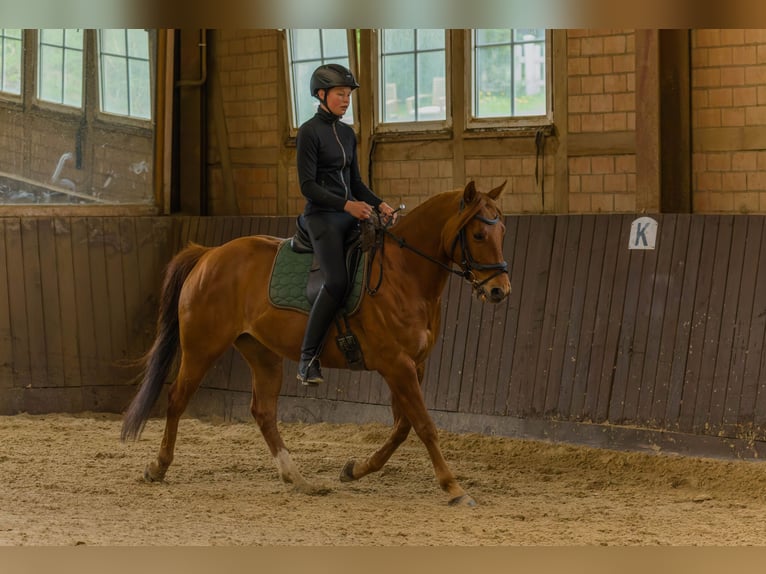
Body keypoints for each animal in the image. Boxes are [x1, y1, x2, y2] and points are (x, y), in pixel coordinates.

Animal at [121, 181, 510, 508]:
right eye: (478, 234)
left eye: (502, 231)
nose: (499, 291)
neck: (405, 274)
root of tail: (209, 254)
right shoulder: (396, 365)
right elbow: (425, 426)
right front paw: (454, 488)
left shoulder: (414, 364)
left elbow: (403, 428)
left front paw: (354, 470)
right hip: (202, 348)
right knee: (176, 399)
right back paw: (158, 467)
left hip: (262, 354)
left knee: (263, 411)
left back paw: (296, 478)